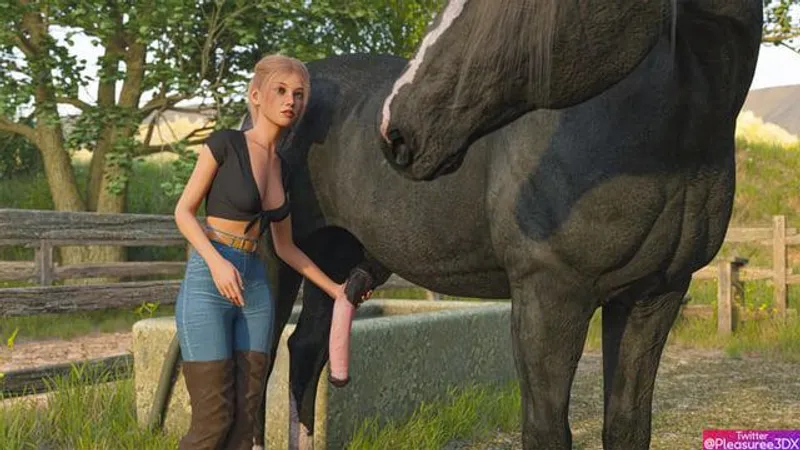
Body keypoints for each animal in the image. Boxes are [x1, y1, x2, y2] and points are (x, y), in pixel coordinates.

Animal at [152, 1, 763, 449]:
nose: (398, 128)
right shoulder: (549, 295)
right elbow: (546, 429)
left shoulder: (653, 296)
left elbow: (629, 426)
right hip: (272, 263)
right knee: (260, 366)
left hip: (336, 262)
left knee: (306, 352)